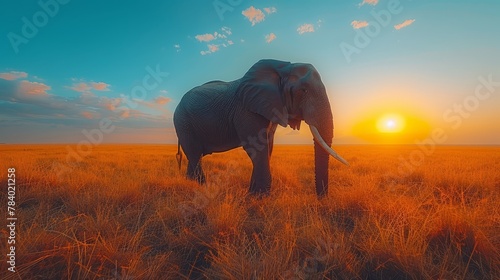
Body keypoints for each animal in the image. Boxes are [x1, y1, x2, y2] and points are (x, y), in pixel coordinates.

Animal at [174, 59, 350, 197]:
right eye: (303, 90)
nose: (320, 199)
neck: (282, 67)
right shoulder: (246, 109)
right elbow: (257, 147)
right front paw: (261, 197)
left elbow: (268, 146)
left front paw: (253, 194)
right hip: (183, 122)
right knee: (195, 154)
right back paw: (201, 187)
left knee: (194, 155)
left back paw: (190, 184)